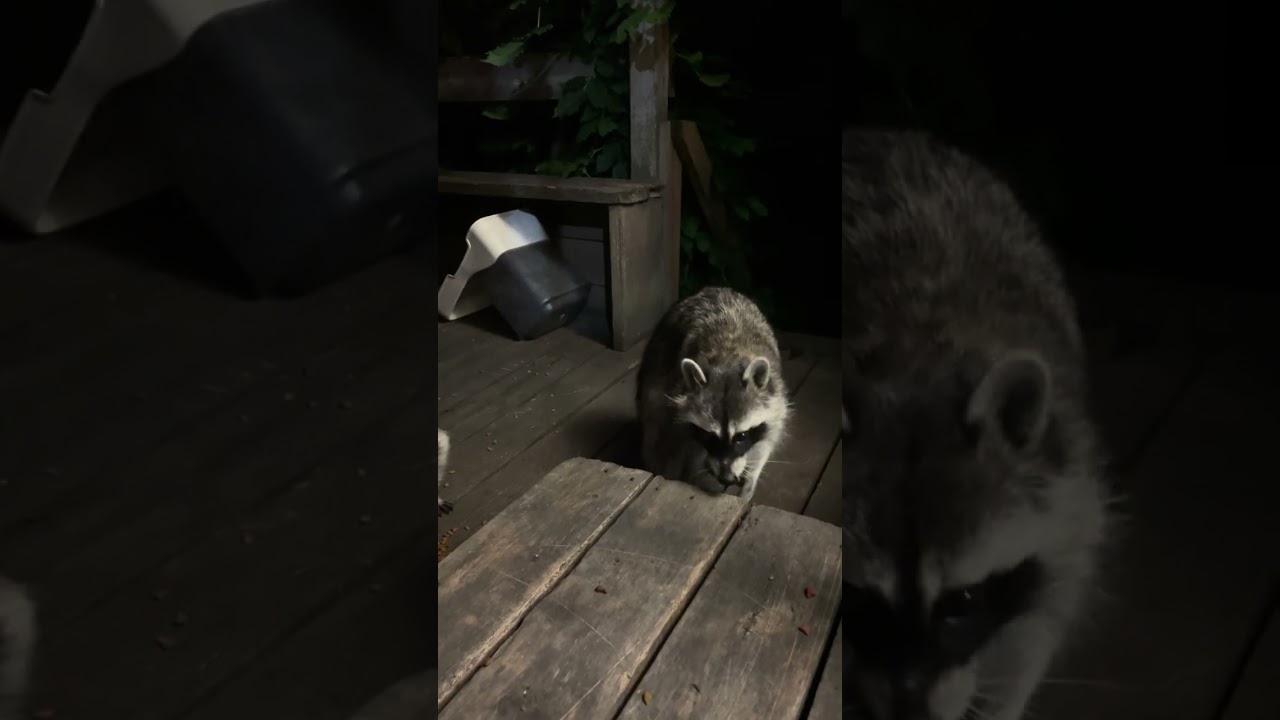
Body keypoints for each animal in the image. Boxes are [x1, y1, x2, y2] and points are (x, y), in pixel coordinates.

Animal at [636, 287, 789, 503]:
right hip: (656, 363)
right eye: (709, 435)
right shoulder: (679, 402)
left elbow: (766, 440)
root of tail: (715, 289)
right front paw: (701, 476)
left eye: (741, 435)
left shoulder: (775, 398)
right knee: (656, 426)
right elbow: (687, 444)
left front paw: (751, 478)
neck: (728, 358)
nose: (726, 478)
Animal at [841, 129, 1109, 720]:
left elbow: (1038, 623)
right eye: (863, 602)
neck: (917, 359)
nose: (910, 715)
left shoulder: (1067, 490)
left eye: (961, 601)